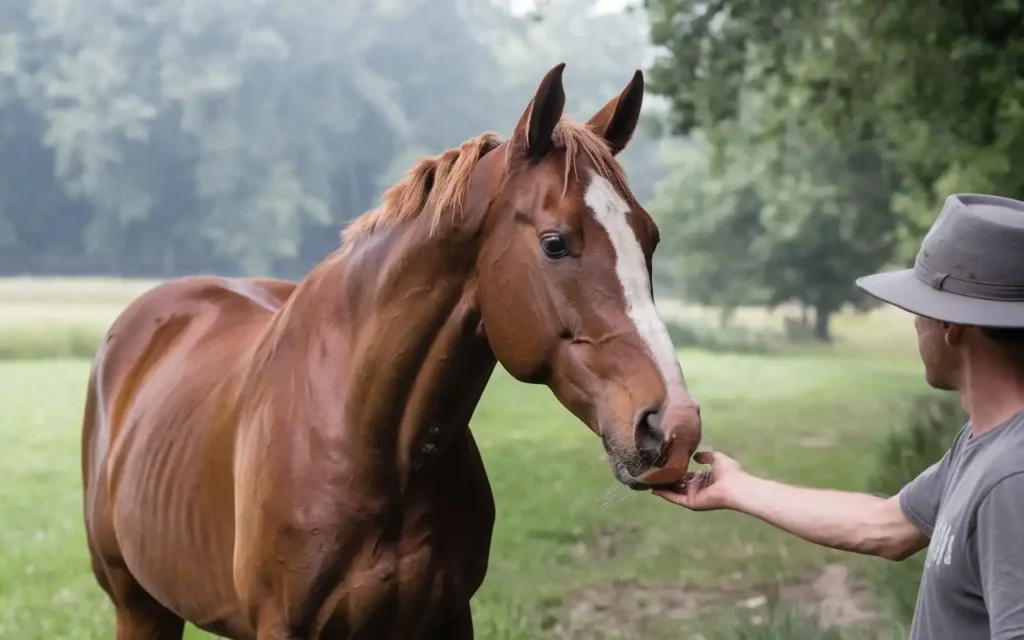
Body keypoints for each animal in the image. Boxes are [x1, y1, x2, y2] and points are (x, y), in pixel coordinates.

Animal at [81, 63, 704, 638]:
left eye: (649, 238)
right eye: (555, 243)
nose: (674, 428)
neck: (370, 439)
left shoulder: (448, 618)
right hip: (138, 607)